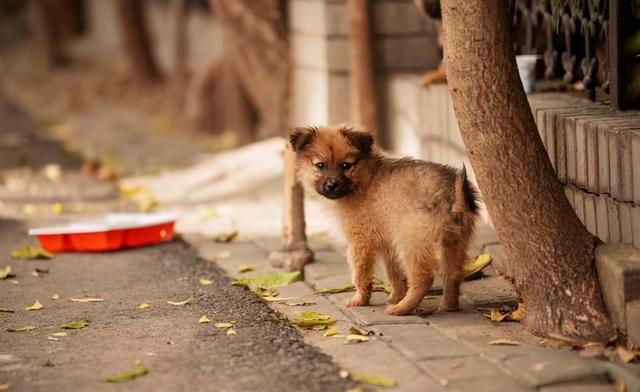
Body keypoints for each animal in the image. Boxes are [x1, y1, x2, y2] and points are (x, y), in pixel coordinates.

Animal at [292, 125, 478, 316]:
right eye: (320, 166)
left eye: (346, 165)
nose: (331, 185)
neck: (365, 178)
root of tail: (452, 193)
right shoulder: (388, 245)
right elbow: (394, 274)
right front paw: (395, 296)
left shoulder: (360, 241)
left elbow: (360, 274)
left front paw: (360, 300)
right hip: (454, 242)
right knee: (453, 276)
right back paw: (448, 306)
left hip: (411, 242)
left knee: (424, 278)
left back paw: (401, 308)